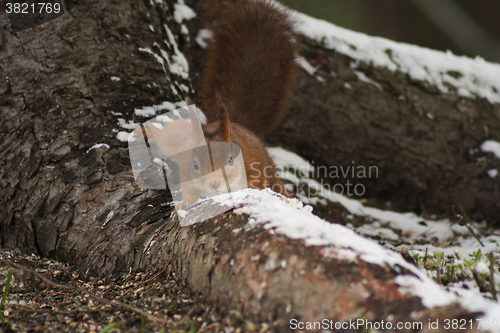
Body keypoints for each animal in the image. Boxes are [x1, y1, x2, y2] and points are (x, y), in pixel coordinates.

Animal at [140, 0, 296, 209]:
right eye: (196, 164)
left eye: (231, 161)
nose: (214, 184)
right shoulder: (187, 166)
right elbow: (189, 188)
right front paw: (184, 204)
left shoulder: (255, 165)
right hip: (180, 141)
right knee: (168, 138)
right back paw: (152, 133)